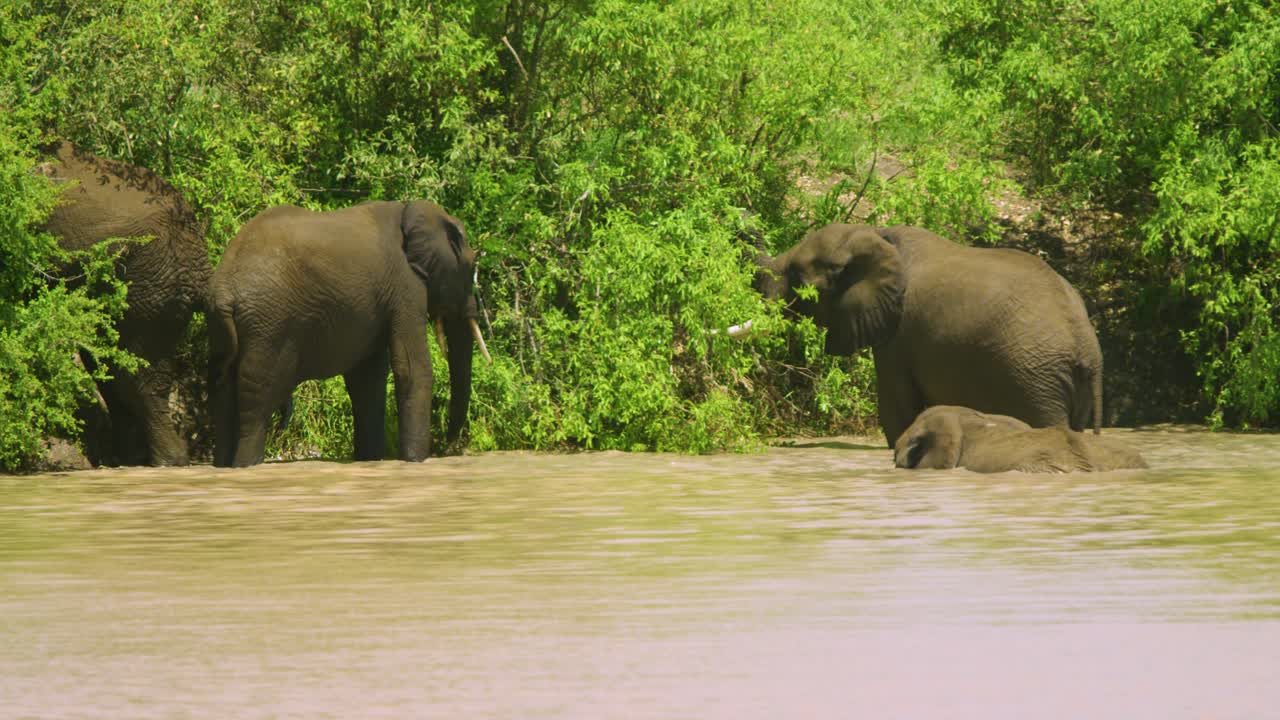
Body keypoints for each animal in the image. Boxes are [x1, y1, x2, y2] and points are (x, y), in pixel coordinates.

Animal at [208, 199, 490, 467]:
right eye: (471, 269)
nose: (448, 444)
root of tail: (225, 289)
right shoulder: (406, 285)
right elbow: (411, 367)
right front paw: (415, 461)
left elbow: (367, 378)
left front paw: (371, 460)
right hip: (269, 324)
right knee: (260, 401)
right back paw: (247, 464)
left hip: (222, 325)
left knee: (222, 388)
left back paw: (224, 465)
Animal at [744, 224, 1103, 447]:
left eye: (796, 276)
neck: (872, 233)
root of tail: (1087, 350)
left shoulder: (899, 331)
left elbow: (898, 406)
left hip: (1036, 378)